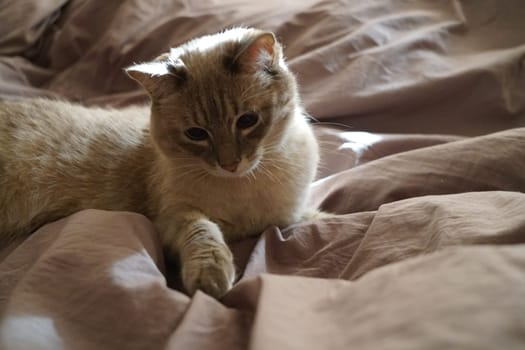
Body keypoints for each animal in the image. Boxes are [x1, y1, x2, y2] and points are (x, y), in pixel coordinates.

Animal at [0, 28, 320, 298]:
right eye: (196, 134)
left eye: (247, 121)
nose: (230, 164)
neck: (241, 188)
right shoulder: (173, 217)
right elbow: (203, 232)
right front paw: (210, 278)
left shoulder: (289, 218)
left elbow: (315, 218)